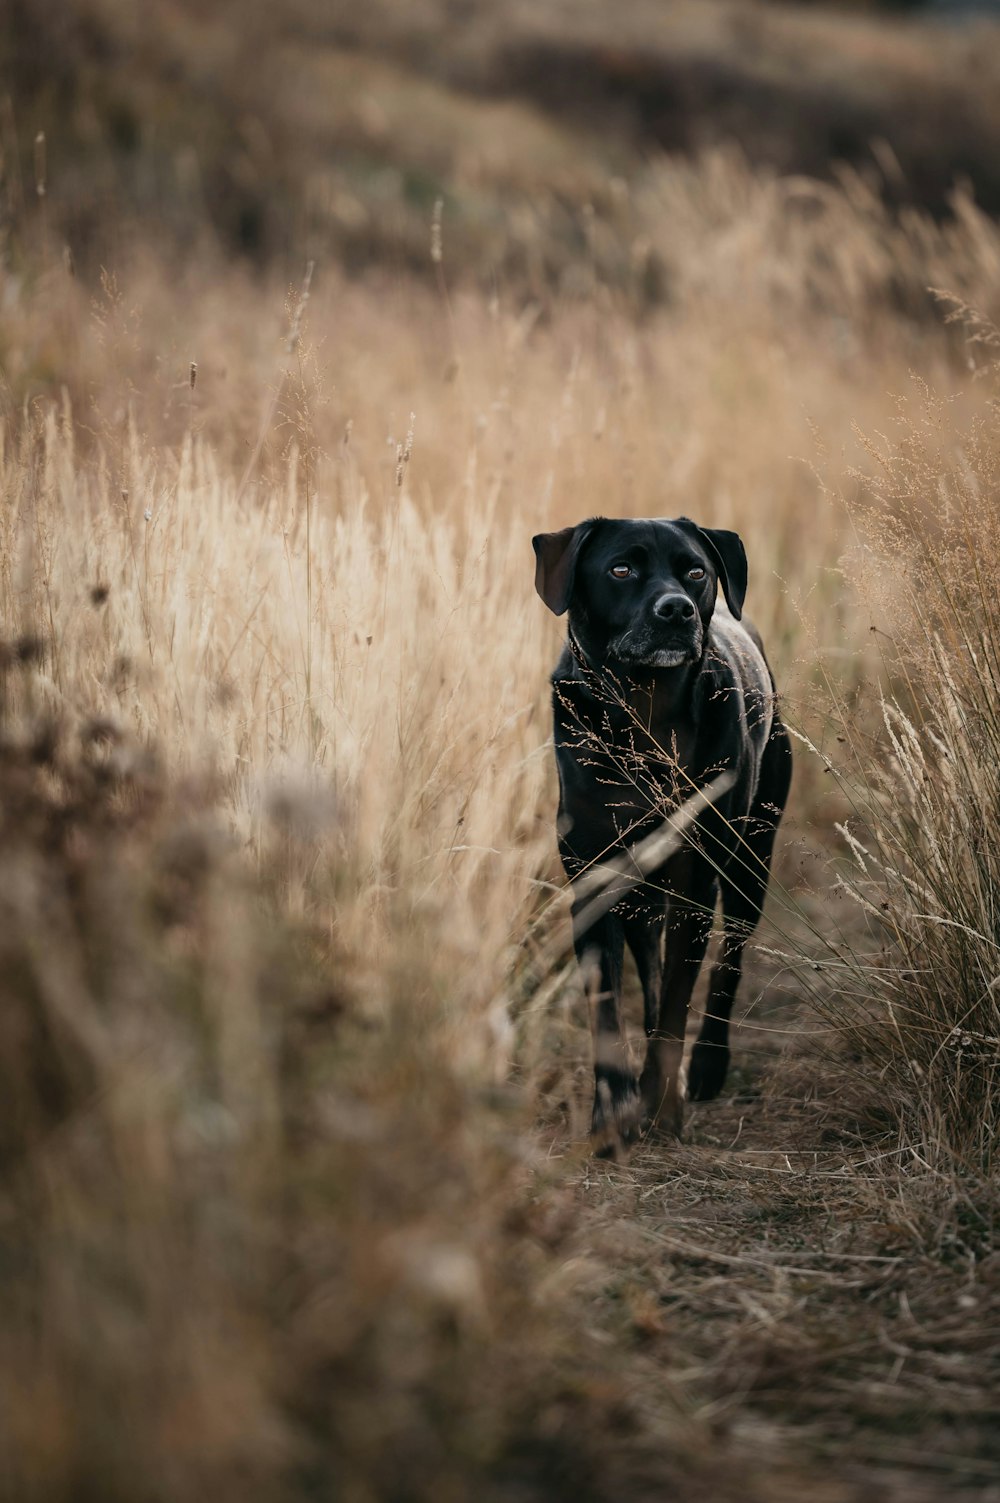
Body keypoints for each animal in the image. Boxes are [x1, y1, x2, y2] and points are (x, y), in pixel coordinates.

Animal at [529, 517, 787, 1148]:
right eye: (621, 569)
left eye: (695, 571)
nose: (676, 610)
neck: (646, 714)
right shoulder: (594, 880)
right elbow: (606, 1003)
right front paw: (612, 1112)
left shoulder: (696, 884)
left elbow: (676, 1001)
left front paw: (663, 1107)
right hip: (644, 896)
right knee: (649, 974)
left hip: (750, 858)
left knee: (728, 960)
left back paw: (706, 1067)